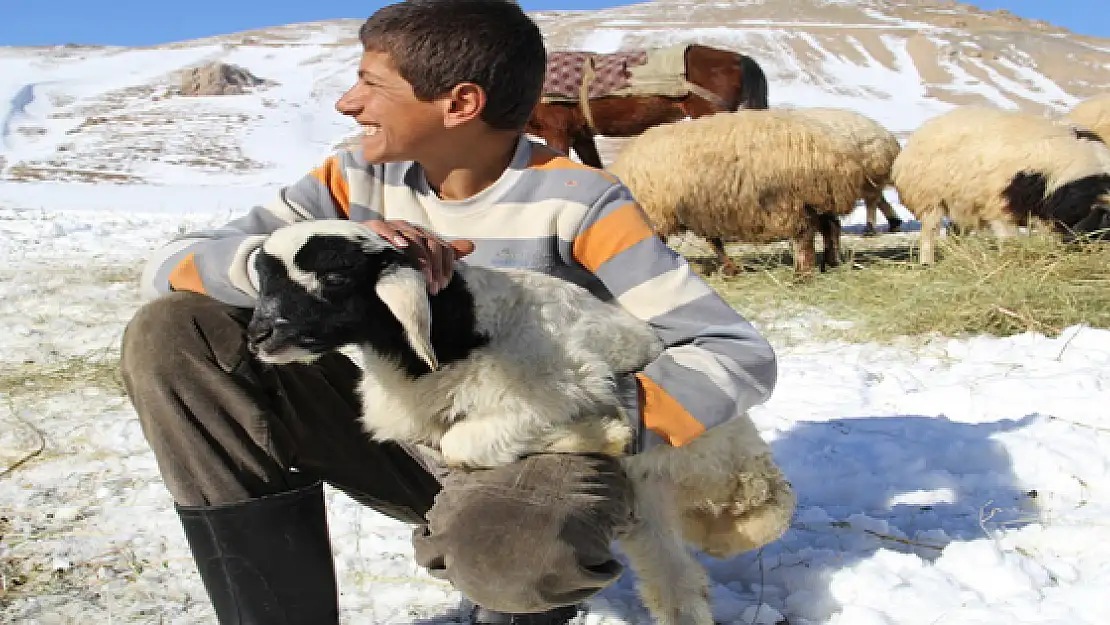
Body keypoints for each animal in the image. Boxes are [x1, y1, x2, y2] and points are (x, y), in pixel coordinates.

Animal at [608, 108, 865, 277]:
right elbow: (714, 242)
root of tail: (837, 152)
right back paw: (831, 262)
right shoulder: (704, 210)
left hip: (791, 200)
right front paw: (730, 269)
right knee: (831, 227)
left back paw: (803, 275)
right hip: (815, 199)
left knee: (804, 237)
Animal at [785, 106, 905, 236]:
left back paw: (870, 229)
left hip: (869, 171)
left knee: (872, 200)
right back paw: (894, 223)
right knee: (879, 198)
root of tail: (891, 140)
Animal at [888, 104, 1110, 264]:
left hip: (962, 202)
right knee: (929, 232)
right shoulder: (1003, 204)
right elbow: (1010, 238)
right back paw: (928, 263)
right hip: (929, 199)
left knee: (955, 231)